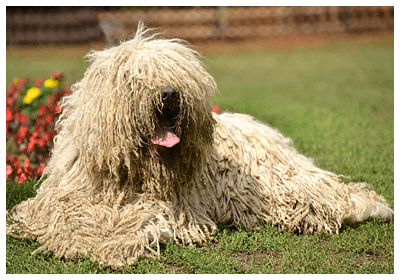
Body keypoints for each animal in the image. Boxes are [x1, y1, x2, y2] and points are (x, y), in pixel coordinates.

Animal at [7, 23, 394, 270]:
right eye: (136, 78)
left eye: (178, 76)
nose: (169, 94)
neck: (133, 172)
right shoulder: (65, 196)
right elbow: (65, 214)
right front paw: (76, 237)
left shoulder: (165, 206)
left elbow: (138, 221)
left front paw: (113, 243)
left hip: (283, 187)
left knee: (327, 201)